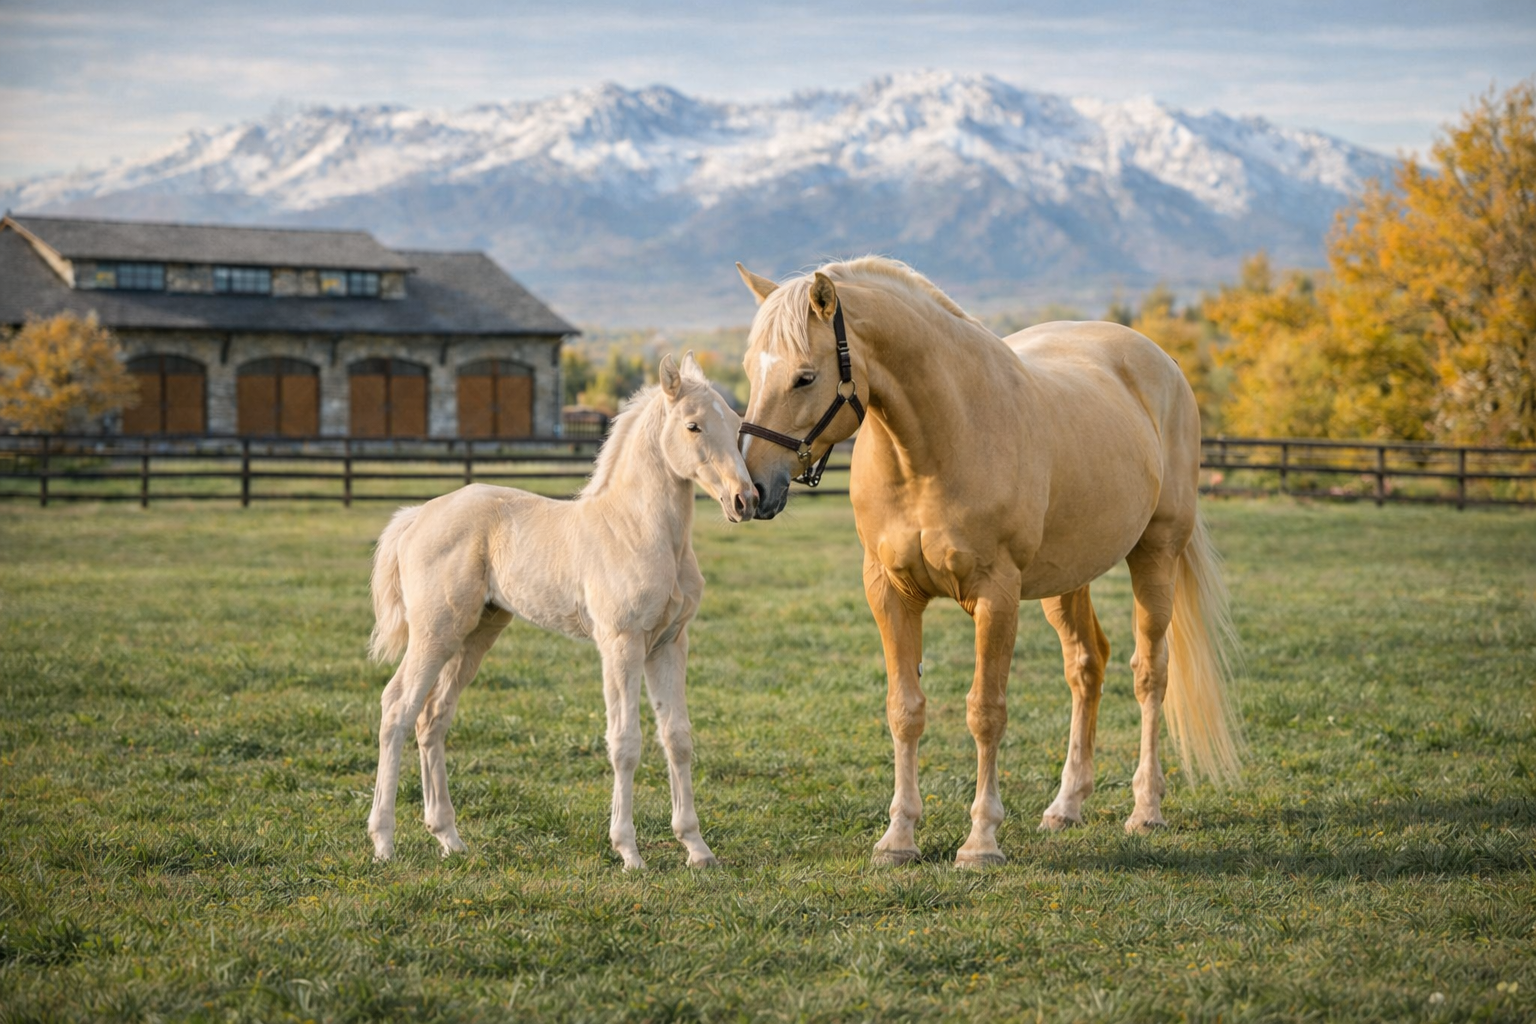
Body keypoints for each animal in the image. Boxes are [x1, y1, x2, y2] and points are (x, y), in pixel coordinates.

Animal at [366, 353, 756, 869]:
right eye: (692, 425)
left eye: (734, 423)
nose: (745, 500)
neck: (637, 529)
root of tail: (415, 517)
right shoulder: (621, 643)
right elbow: (625, 742)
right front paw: (628, 851)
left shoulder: (670, 643)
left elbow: (678, 738)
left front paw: (696, 847)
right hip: (435, 632)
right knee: (397, 708)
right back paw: (384, 842)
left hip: (477, 633)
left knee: (433, 717)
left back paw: (449, 837)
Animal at [734, 257, 1242, 867]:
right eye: (749, 370)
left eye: (805, 377)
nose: (751, 490)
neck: (937, 444)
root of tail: (1161, 363)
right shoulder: (889, 593)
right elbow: (905, 710)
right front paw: (898, 839)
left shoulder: (995, 596)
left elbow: (986, 712)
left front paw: (981, 841)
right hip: (1066, 579)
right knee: (1086, 667)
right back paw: (1066, 805)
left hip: (1156, 555)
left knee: (1149, 673)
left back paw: (1146, 809)